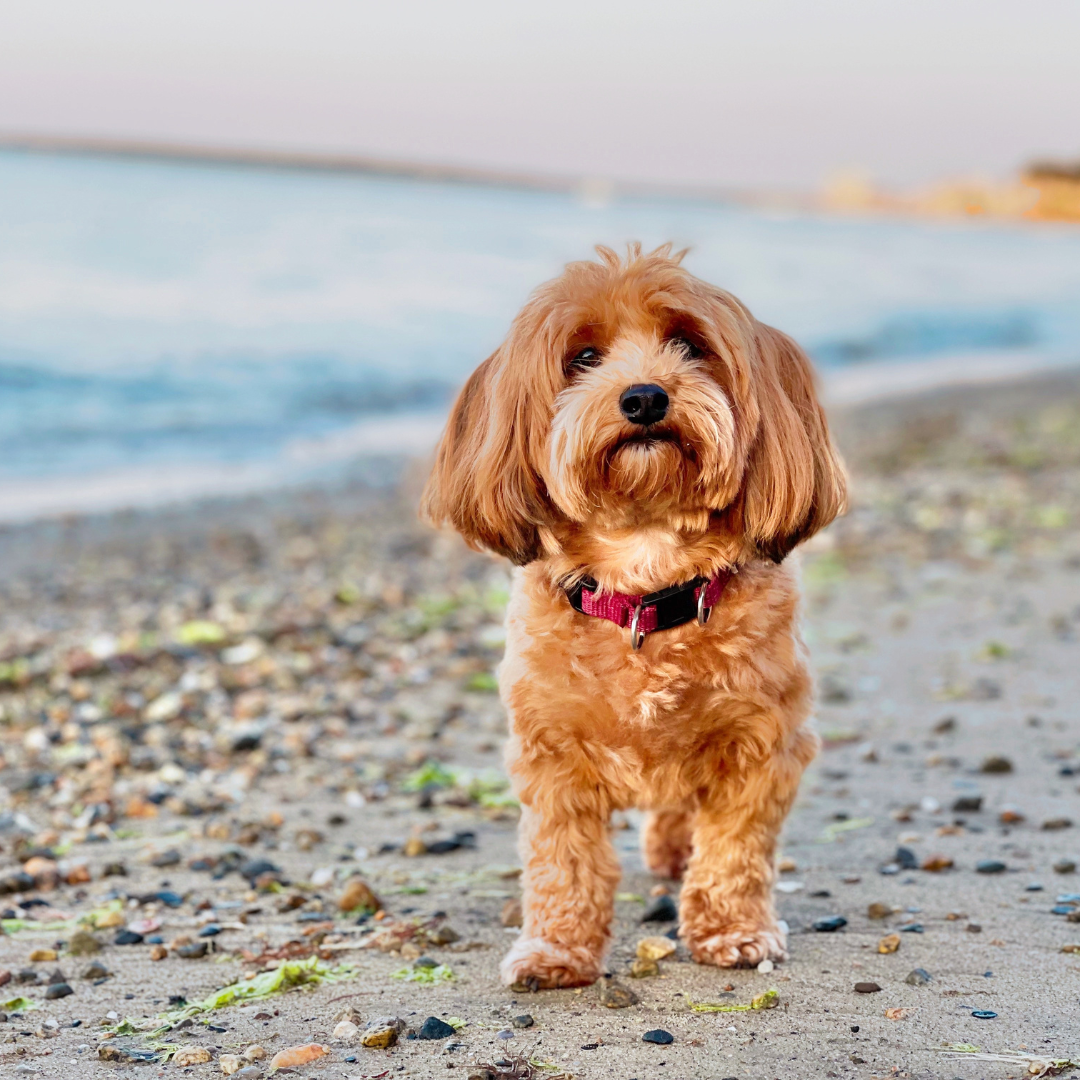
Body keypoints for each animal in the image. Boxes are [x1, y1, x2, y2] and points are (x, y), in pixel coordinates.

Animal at [419, 243, 842, 989]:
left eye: (690, 345)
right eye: (583, 357)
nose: (644, 397)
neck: (647, 583)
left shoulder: (761, 741)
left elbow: (736, 848)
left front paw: (734, 931)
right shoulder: (551, 753)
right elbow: (564, 860)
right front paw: (557, 949)